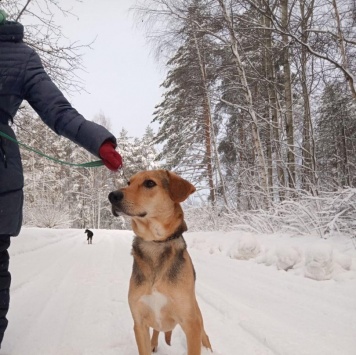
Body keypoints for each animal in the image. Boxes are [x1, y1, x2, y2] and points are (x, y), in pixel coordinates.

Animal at [108, 170, 211, 355]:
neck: (154, 243)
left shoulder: (191, 325)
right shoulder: (139, 323)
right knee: (156, 330)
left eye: (149, 183)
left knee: (205, 337)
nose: (112, 196)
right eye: (128, 182)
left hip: (198, 319)